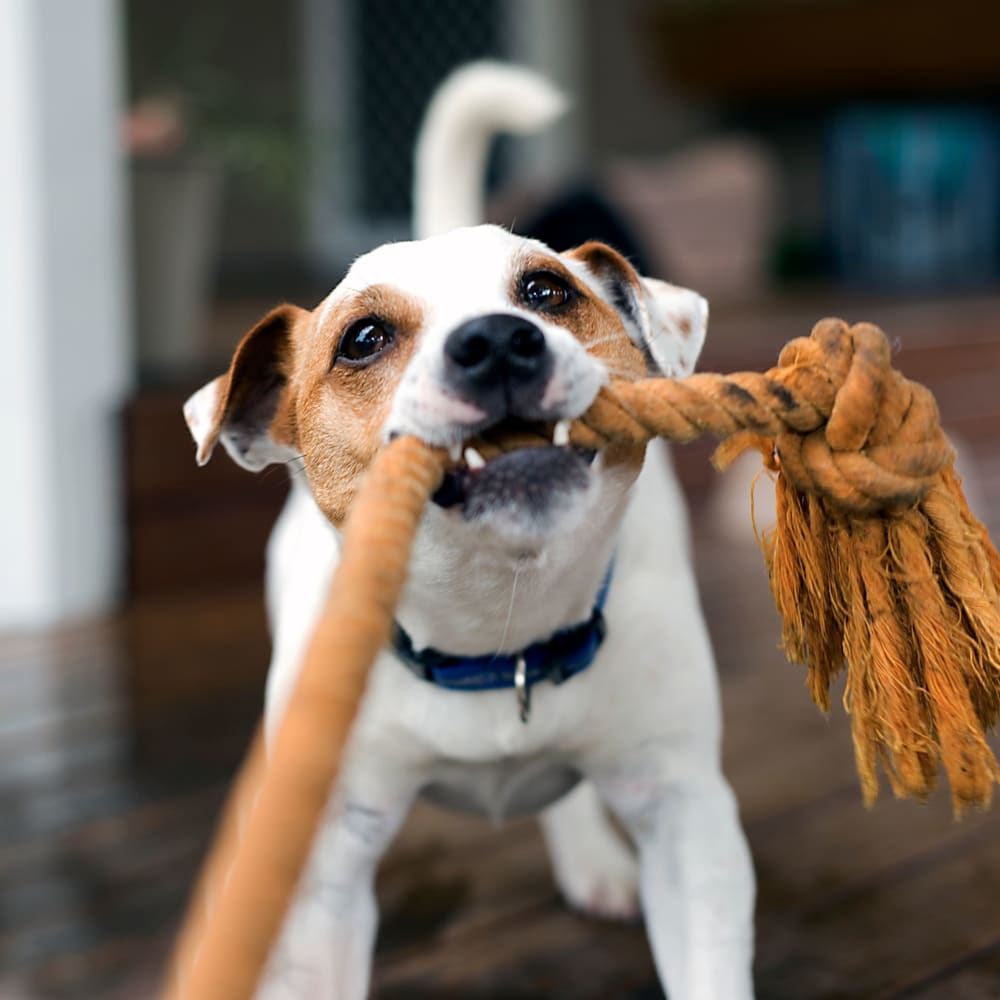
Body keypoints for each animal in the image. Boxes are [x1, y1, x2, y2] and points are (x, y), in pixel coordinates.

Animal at [184, 62, 752, 1000]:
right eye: (364, 338)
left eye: (547, 291)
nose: (495, 341)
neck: (498, 632)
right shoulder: (329, 868)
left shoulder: (686, 815)